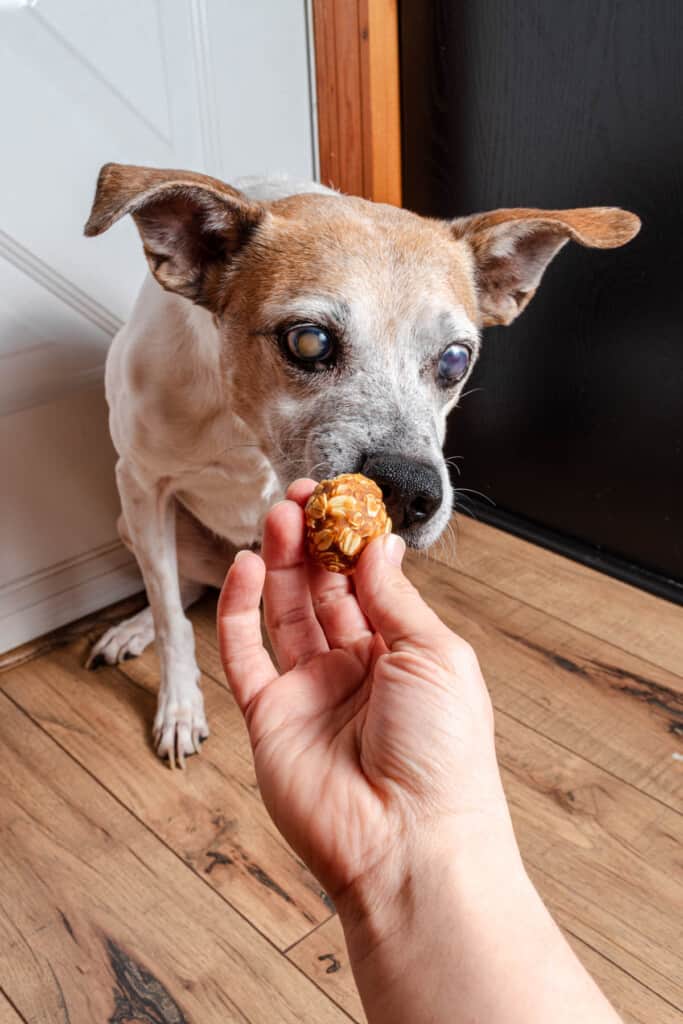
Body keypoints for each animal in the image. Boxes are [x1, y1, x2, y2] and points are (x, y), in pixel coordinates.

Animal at [82, 163, 638, 765]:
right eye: (308, 341)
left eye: (455, 359)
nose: (410, 491)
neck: (246, 428)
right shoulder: (141, 486)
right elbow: (169, 617)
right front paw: (180, 706)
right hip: (128, 521)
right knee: (182, 592)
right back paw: (133, 630)